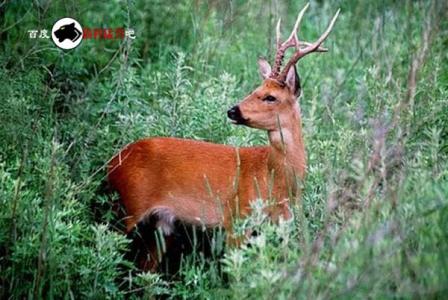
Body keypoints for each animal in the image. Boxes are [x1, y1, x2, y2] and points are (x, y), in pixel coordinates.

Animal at [109, 4, 340, 272]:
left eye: (270, 96)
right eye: (255, 89)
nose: (233, 110)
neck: (275, 178)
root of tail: (113, 162)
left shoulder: (282, 223)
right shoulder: (236, 219)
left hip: (161, 224)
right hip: (127, 207)